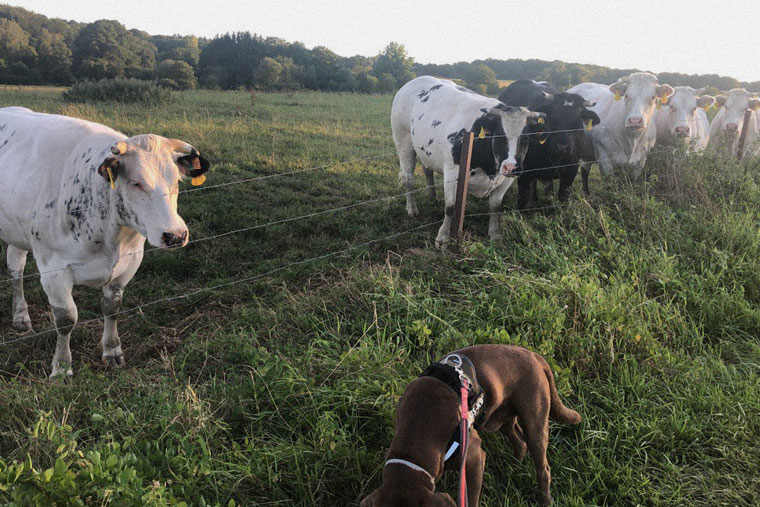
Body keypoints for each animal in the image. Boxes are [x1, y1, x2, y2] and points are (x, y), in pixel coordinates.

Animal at [0, 107, 209, 380]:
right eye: (135, 182)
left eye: (175, 181)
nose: (175, 235)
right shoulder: (53, 269)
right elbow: (66, 319)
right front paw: (62, 367)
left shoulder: (130, 262)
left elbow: (112, 308)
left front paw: (112, 351)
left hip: (16, 231)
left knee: (16, 267)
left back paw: (20, 315)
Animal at [360, 344, 580, 506]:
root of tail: (535, 356)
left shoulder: (474, 458)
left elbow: (471, 498)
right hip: (502, 417)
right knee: (519, 442)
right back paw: (512, 470)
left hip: (535, 421)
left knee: (543, 467)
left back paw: (544, 499)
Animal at [392, 76, 548, 248]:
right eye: (499, 136)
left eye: (526, 138)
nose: (511, 166)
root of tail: (416, 80)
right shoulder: (451, 173)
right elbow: (450, 207)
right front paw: (443, 237)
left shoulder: (506, 179)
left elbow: (495, 206)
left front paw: (495, 234)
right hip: (403, 143)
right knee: (408, 179)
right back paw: (412, 209)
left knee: (428, 170)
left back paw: (432, 196)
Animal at [498, 79, 600, 208]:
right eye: (554, 118)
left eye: (577, 120)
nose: (562, 147)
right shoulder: (524, 174)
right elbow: (523, 199)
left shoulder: (571, 170)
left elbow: (563, 196)